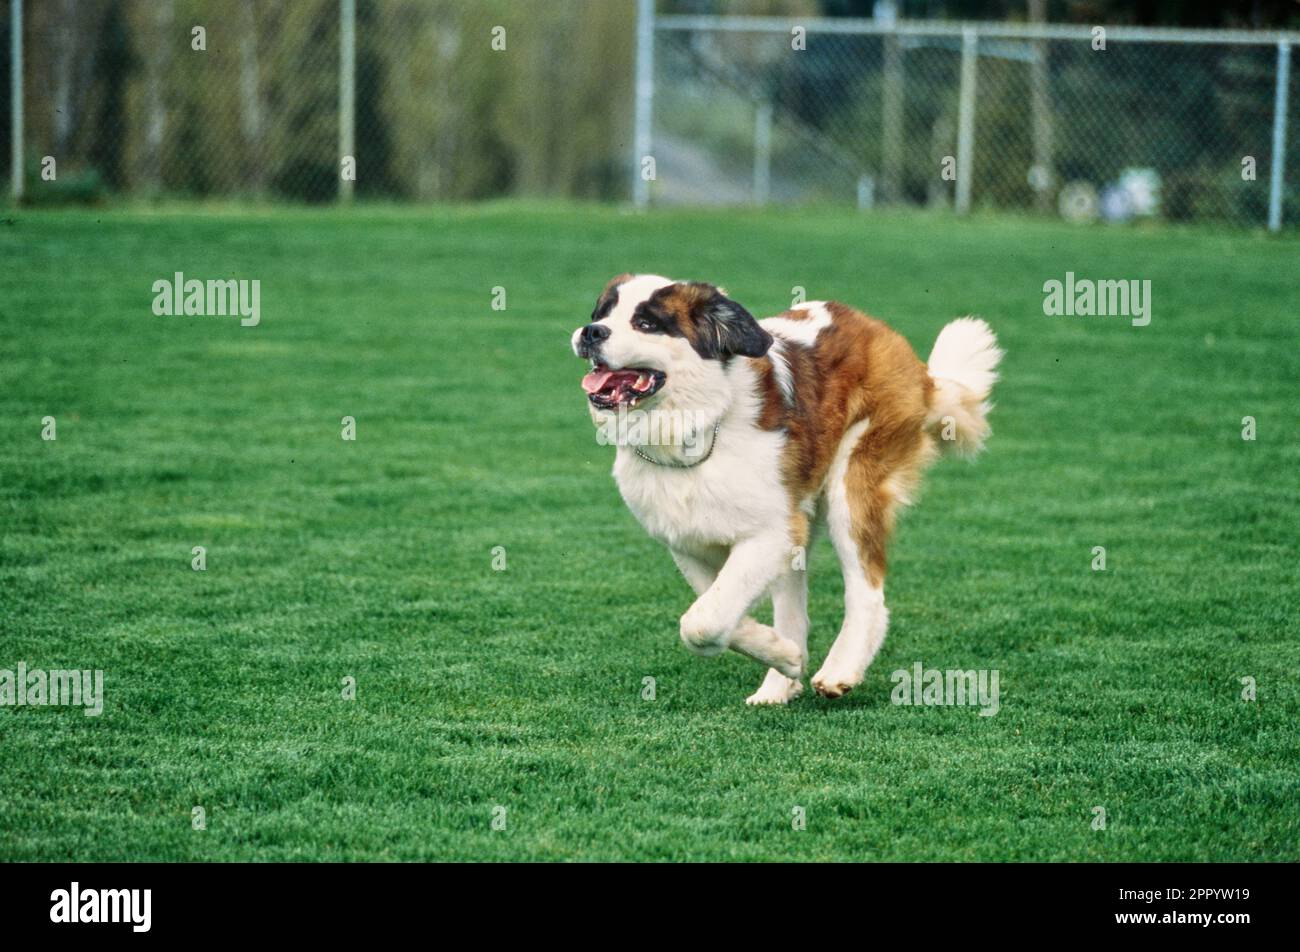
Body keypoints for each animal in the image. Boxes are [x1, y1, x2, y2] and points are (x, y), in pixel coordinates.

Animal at [572, 271, 1003, 702]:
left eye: (646, 323)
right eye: (601, 314)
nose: (591, 332)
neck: (698, 427)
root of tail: (884, 336)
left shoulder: (772, 533)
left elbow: (702, 622)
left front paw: (789, 657)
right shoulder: (688, 543)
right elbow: (716, 610)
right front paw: (786, 656)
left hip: (852, 483)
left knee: (866, 590)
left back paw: (840, 669)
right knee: (793, 610)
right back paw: (779, 685)